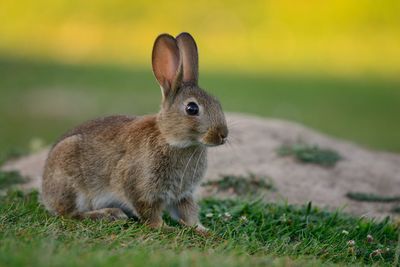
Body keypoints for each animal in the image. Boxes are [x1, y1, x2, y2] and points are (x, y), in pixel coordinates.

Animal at [41, 31, 228, 234]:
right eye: (192, 109)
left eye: (217, 103)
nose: (223, 135)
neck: (170, 139)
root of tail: (45, 190)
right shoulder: (140, 187)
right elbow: (149, 212)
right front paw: (165, 228)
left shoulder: (183, 194)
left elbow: (188, 212)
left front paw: (203, 231)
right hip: (72, 182)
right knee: (69, 214)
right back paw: (109, 214)